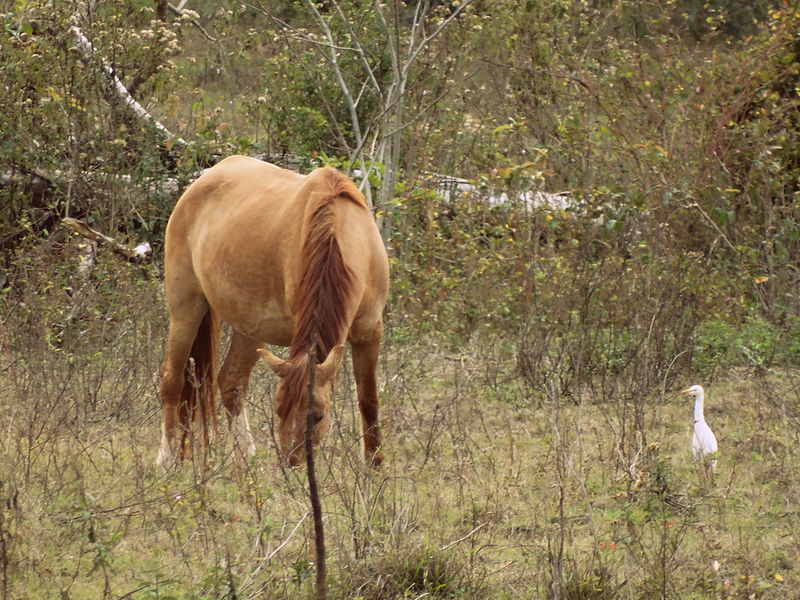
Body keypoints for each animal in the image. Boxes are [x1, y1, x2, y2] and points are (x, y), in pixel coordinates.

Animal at [155, 155, 388, 468]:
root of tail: (205, 178)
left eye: (318, 415)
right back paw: (166, 458)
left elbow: (368, 399)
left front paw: (375, 466)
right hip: (186, 307)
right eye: (279, 409)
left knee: (231, 382)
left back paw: (248, 460)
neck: (339, 232)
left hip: (250, 325)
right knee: (172, 378)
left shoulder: (369, 331)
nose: (294, 462)